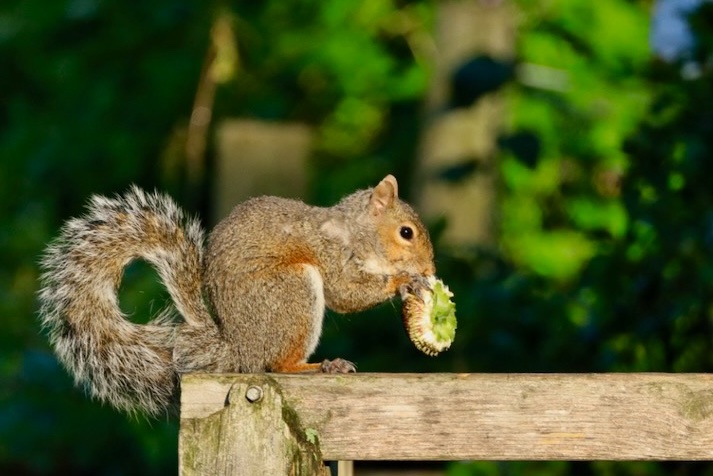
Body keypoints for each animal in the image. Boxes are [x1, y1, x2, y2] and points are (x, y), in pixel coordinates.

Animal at [38, 175, 435, 416]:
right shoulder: (329, 254)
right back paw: (319, 365)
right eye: (406, 232)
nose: (430, 269)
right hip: (292, 291)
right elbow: (345, 294)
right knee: (277, 365)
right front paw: (406, 282)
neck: (356, 233)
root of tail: (239, 349)